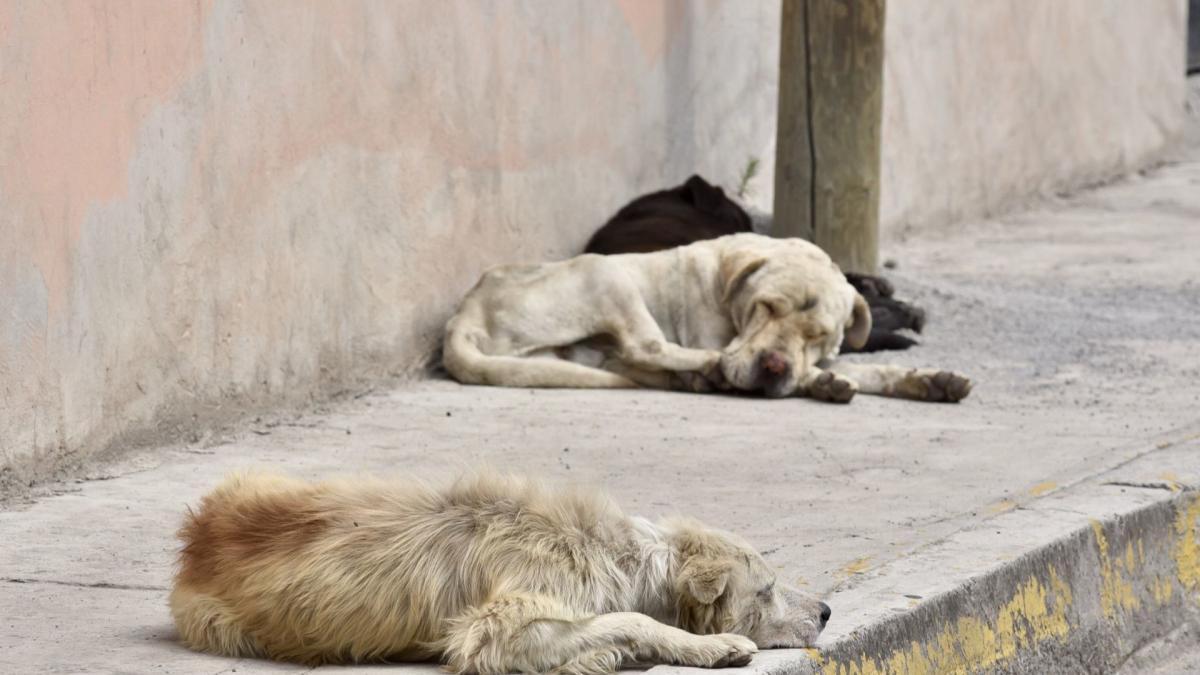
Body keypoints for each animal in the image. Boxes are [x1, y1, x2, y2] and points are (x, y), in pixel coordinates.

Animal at [169, 470, 830, 667]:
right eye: (768, 590)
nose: (827, 611)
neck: (622, 558)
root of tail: (196, 538)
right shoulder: (496, 626)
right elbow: (631, 620)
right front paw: (712, 645)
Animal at [446, 233, 969, 398]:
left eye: (817, 334)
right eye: (766, 307)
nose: (773, 366)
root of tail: (464, 314)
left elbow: (869, 368)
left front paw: (928, 378)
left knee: (632, 358)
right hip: (605, 272)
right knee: (646, 345)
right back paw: (708, 370)